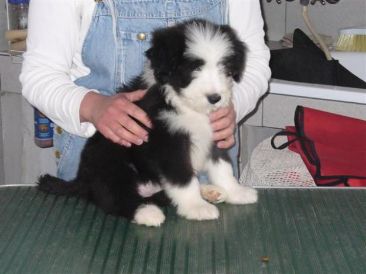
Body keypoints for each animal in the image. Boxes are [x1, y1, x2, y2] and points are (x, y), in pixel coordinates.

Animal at [38, 19, 258, 227]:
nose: (215, 98)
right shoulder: (169, 143)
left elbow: (223, 167)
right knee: (116, 198)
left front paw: (236, 192)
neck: (183, 103)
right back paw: (148, 212)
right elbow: (182, 178)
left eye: (224, 66)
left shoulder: (215, 133)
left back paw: (209, 191)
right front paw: (196, 207)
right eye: (195, 67)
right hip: (112, 163)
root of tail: (81, 181)